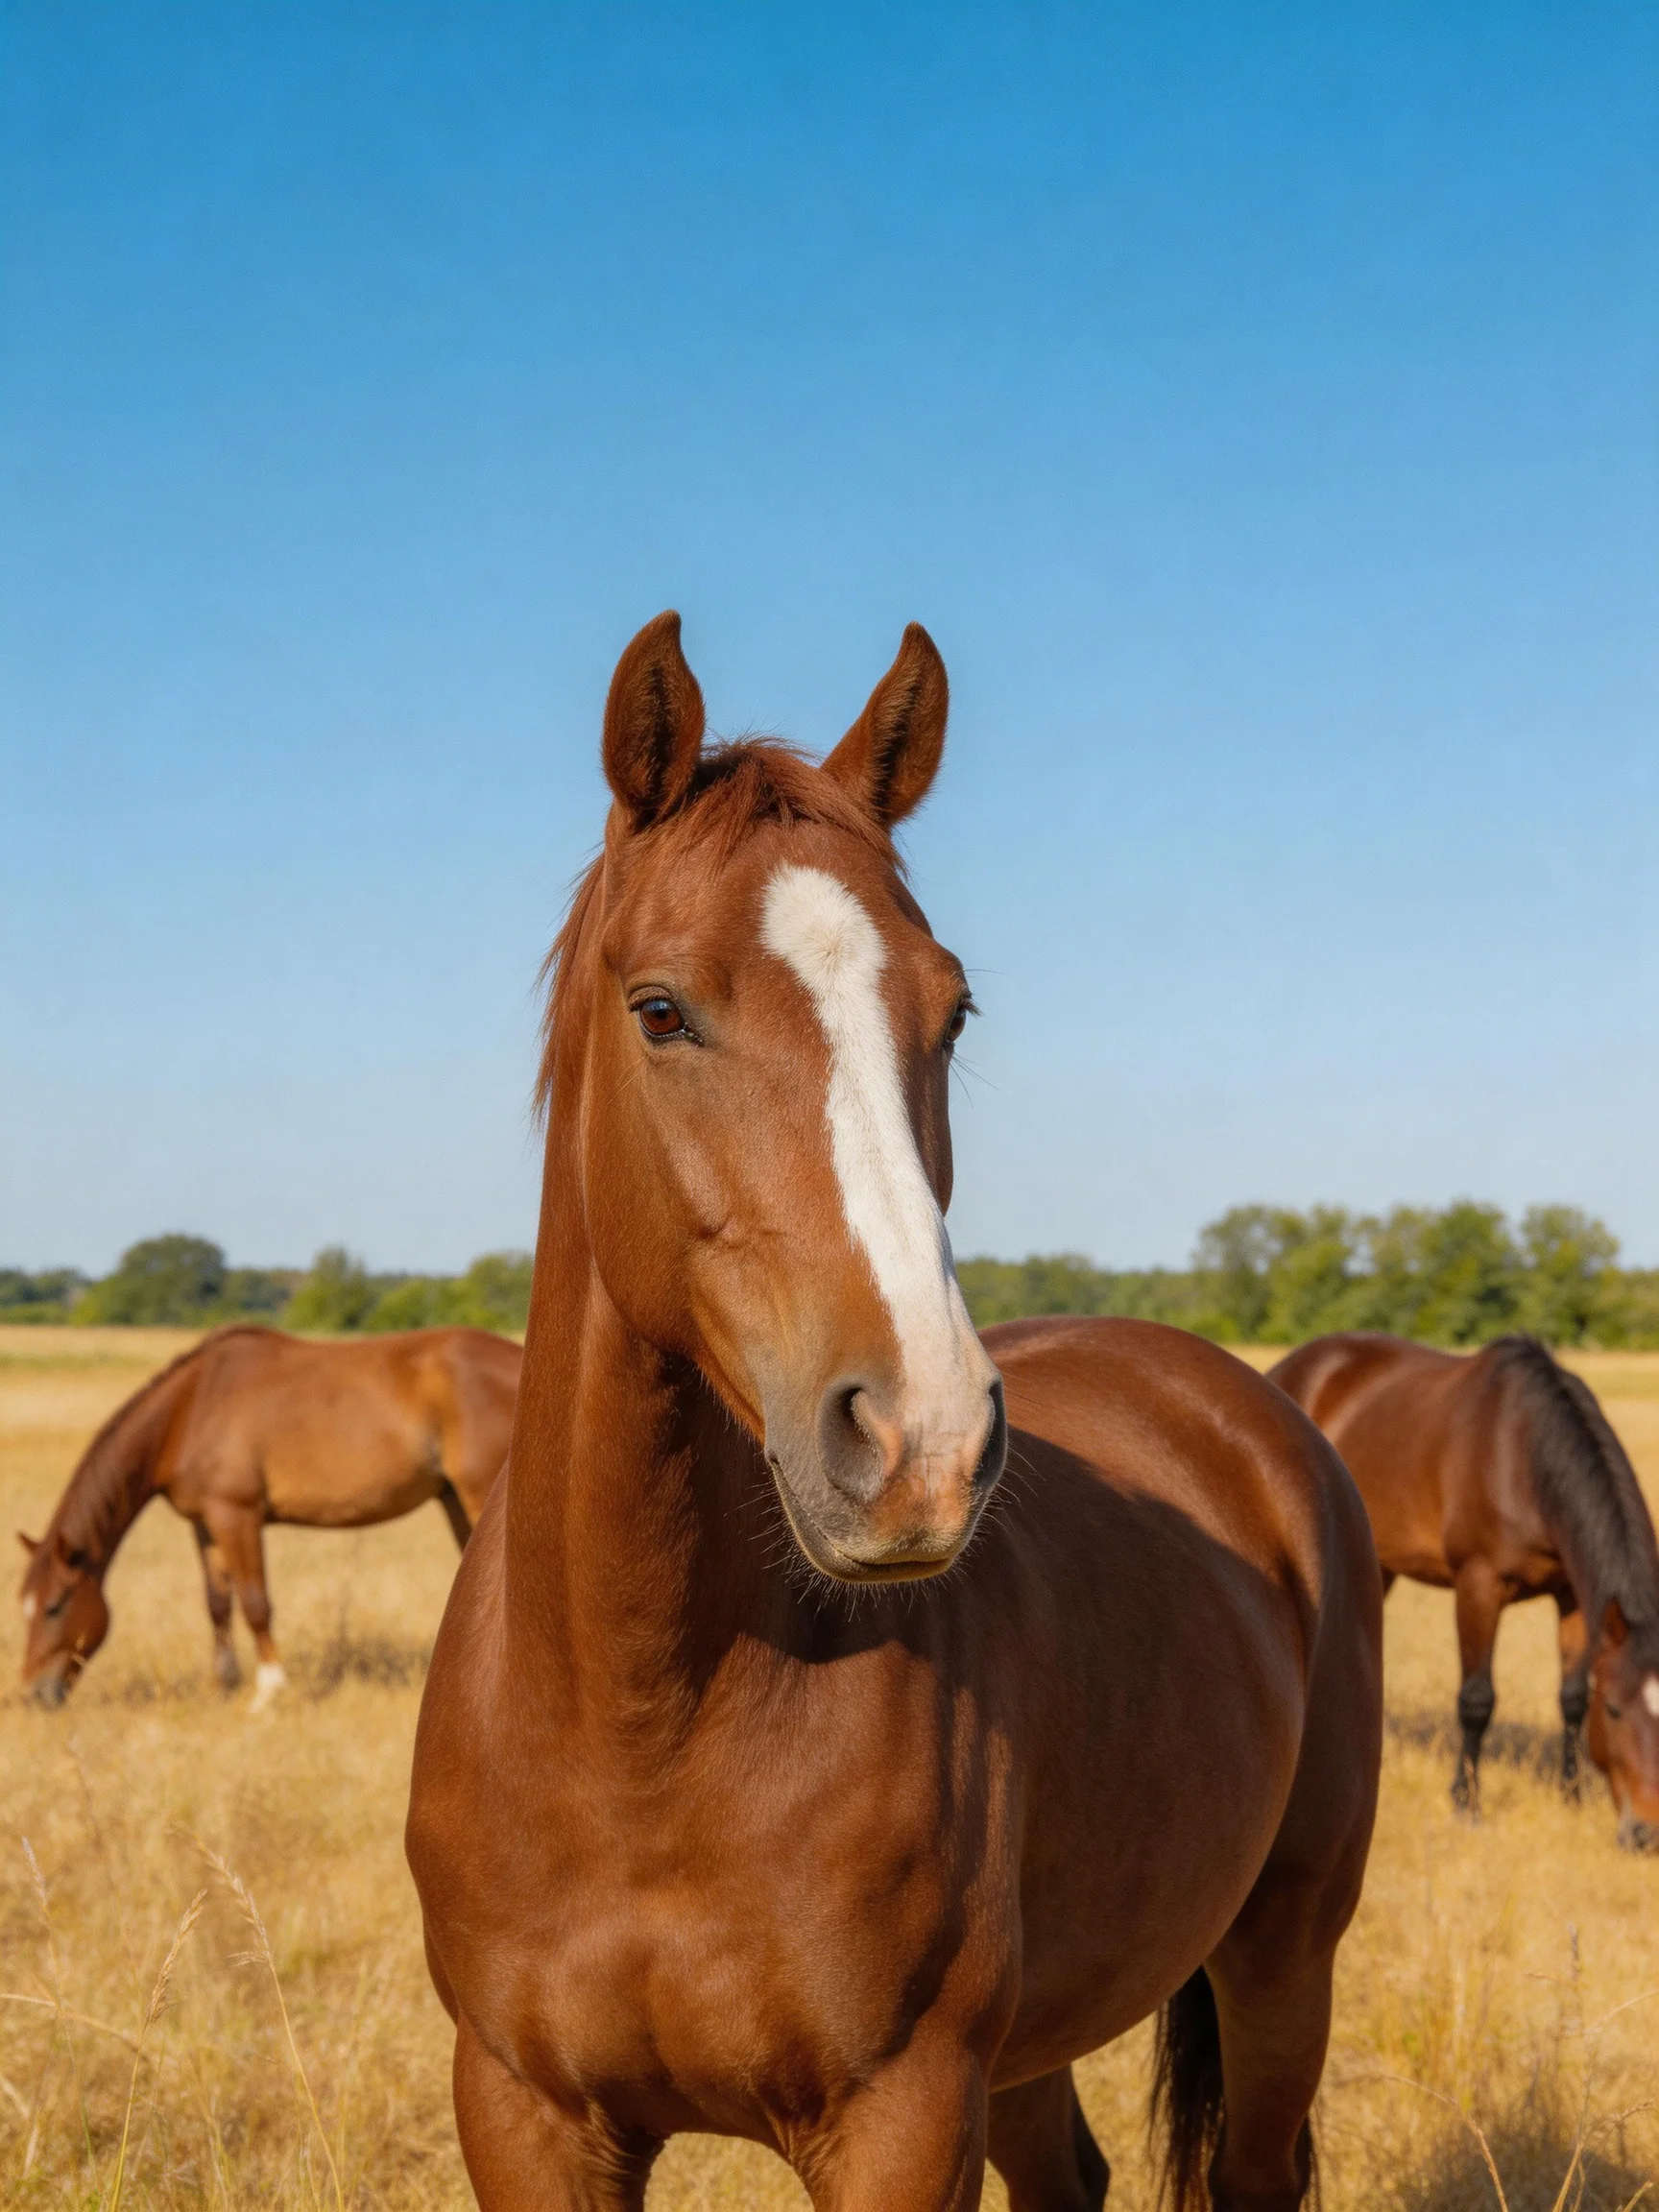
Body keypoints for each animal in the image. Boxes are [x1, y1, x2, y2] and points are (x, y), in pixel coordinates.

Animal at [17, 1323, 520, 1709]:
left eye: (55, 1605)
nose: (33, 1694)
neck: (191, 1409)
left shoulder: (237, 1515)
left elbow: (256, 1602)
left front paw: (269, 1692)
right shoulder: (206, 1524)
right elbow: (218, 1605)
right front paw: (222, 1686)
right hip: (455, 1500)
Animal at [405, 612, 1382, 2212]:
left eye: (953, 1007)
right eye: (660, 1009)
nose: (921, 1443)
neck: (639, 1727)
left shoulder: (904, 2119)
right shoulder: (526, 2114)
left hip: (1284, 1952)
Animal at [1268, 1331, 1659, 1848]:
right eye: (1614, 1709)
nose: (1646, 1833)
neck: (1521, 1456)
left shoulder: (1574, 1596)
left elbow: (1572, 1697)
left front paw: (1571, 1796)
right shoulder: (1478, 1586)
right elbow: (1477, 1701)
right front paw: (1466, 1804)